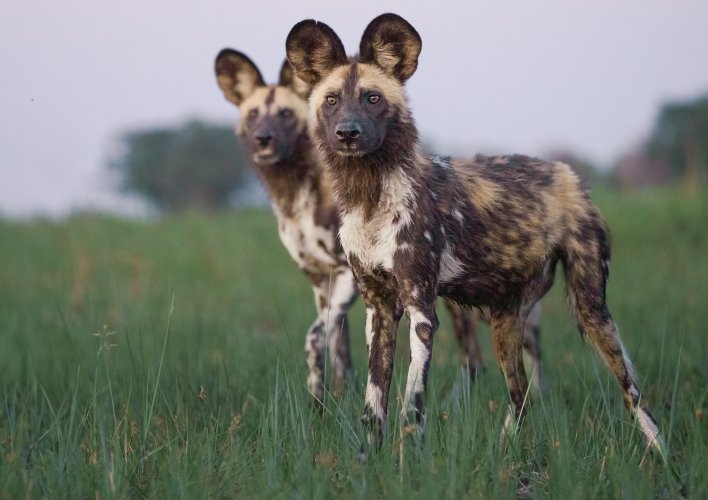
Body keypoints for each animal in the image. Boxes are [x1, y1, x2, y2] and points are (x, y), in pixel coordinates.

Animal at [284, 13, 668, 456]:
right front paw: (370, 460)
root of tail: (567, 172)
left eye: (372, 98)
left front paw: (407, 460)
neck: (371, 199)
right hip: (505, 322)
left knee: (632, 392)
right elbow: (372, 408)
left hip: (592, 313)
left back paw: (663, 456)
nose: (348, 133)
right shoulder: (378, 310)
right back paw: (505, 452)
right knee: (521, 398)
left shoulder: (421, 311)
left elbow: (411, 407)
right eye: (331, 100)